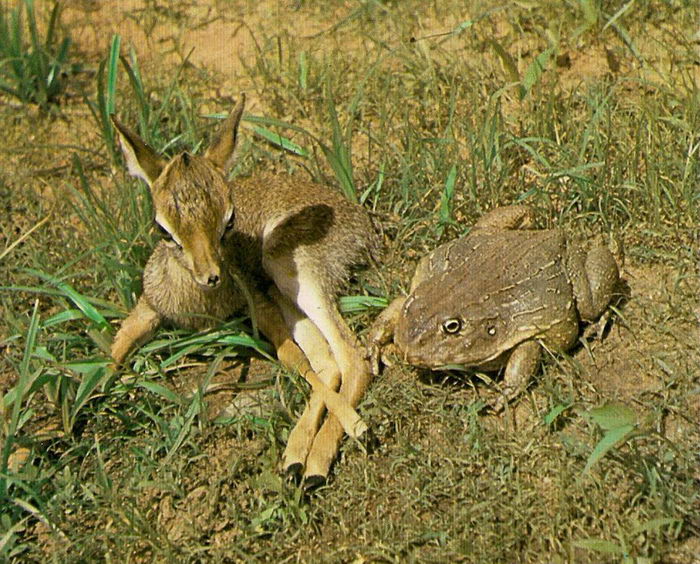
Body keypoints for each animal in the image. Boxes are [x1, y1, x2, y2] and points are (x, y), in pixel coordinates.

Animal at [112, 94, 380, 482]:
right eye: (163, 229)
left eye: (229, 220)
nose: (211, 276)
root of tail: (364, 224)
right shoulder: (149, 307)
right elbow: (112, 352)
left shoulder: (258, 304)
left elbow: (291, 358)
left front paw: (359, 427)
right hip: (286, 296)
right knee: (328, 361)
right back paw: (297, 458)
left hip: (290, 274)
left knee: (352, 357)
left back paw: (317, 462)